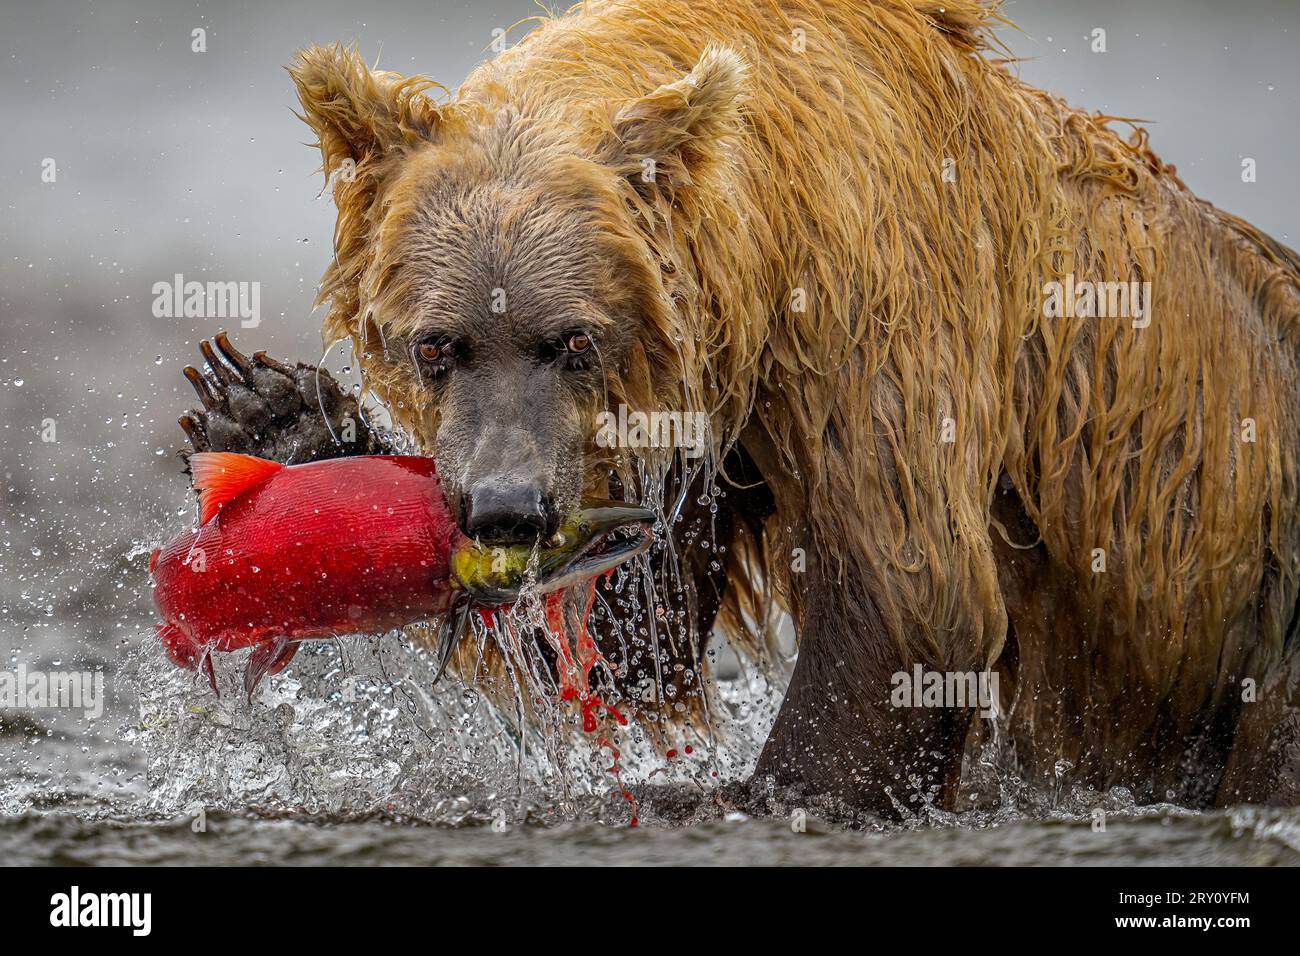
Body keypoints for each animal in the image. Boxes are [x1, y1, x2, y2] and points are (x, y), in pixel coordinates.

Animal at [180, 0, 1300, 816]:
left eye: (573, 338)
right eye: (436, 343)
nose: (505, 508)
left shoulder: (867, 306)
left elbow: (911, 593)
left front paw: (749, 792)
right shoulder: (694, 420)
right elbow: (640, 641)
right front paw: (274, 413)